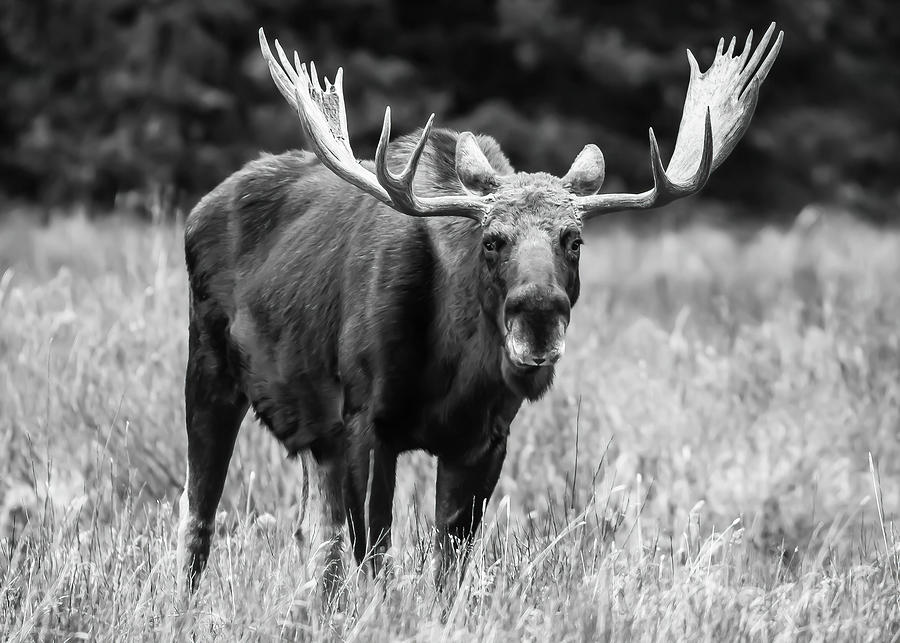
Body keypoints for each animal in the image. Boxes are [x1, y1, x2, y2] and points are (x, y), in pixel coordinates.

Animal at [176, 25, 780, 596]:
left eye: (574, 239)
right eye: (492, 240)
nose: (539, 314)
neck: (451, 366)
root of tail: (201, 205)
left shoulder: (484, 437)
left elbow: (449, 567)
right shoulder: (365, 420)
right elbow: (376, 558)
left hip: (312, 432)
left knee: (314, 538)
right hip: (209, 368)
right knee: (198, 514)